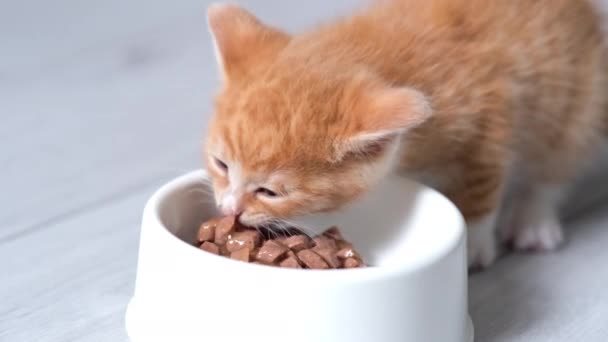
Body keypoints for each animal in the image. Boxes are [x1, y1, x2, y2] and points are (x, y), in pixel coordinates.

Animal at [204, 0, 608, 268]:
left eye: (269, 192)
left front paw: (473, 247)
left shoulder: (491, 123)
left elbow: (479, 192)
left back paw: (533, 220)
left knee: (554, 163)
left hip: (579, 99)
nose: (229, 209)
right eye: (221, 164)